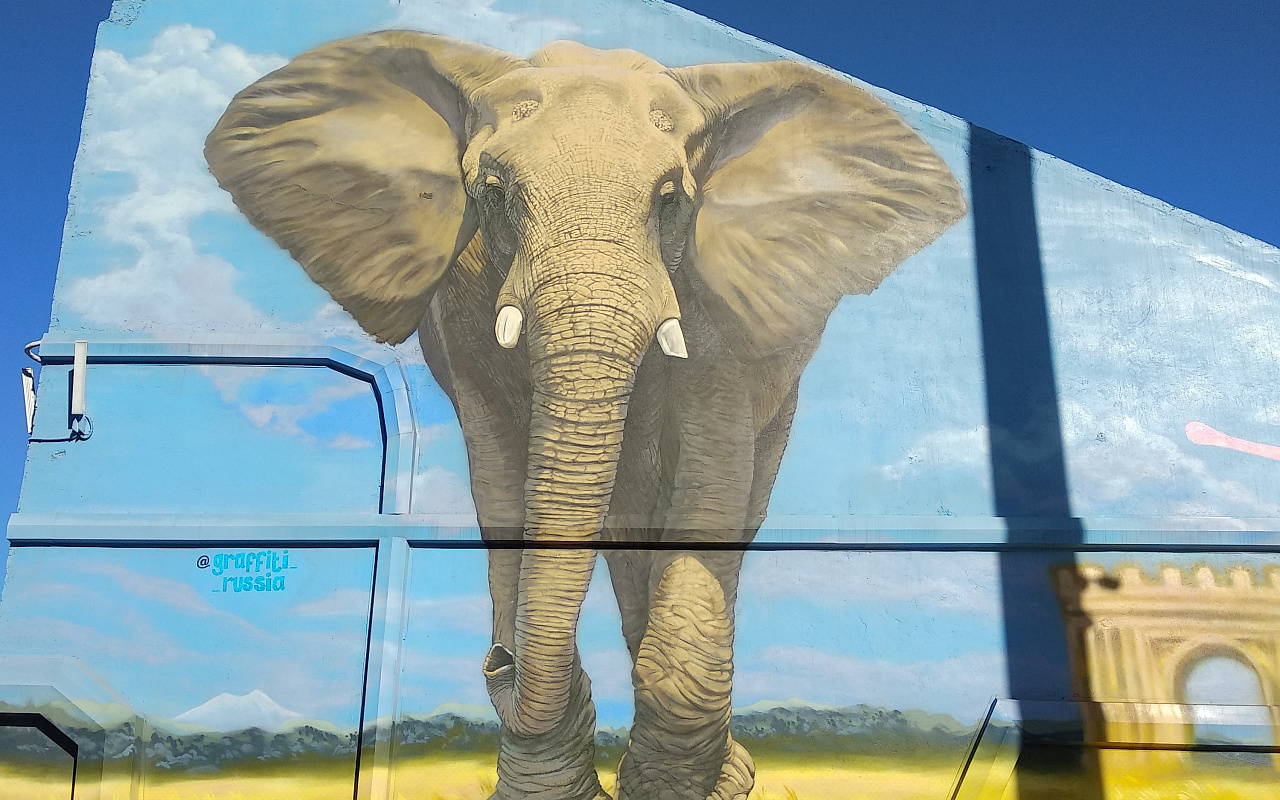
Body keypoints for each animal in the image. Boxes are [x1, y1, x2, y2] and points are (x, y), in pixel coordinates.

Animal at [205, 31, 965, 800]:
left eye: (670, 198)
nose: (500, 662)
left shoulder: (717, 310)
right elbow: (502, 472)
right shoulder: (465, 309)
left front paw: (682, 788)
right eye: (493, 193)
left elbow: (709, 478)